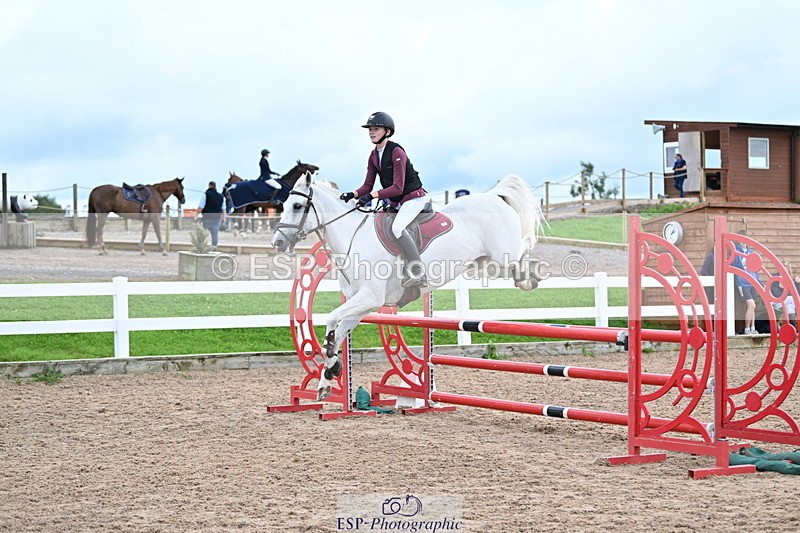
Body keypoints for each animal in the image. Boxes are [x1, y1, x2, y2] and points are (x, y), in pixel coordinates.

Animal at [271, 173, 544, 400]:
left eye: (297, 206)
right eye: (284, 206)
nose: (277, 243)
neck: (353, 237)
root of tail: (494, 196)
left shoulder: (369, 298)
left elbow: (330, 320)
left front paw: (331, 365)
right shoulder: (361, 306)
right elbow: (337, 335)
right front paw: (328, 378)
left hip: (503, 254)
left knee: (526, 243)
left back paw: (530, 277)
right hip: (487, 260)